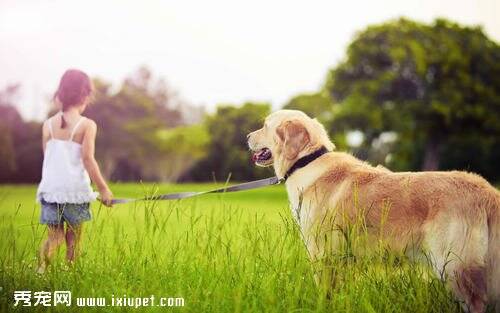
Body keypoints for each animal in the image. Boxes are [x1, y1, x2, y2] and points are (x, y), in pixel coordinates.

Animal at [247, 108, 500, 310]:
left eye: (265, 126)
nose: (247, 136)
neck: (306, 161)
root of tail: (487, 191)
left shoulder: (322, 253)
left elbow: (324, 293)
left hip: (455, 267)